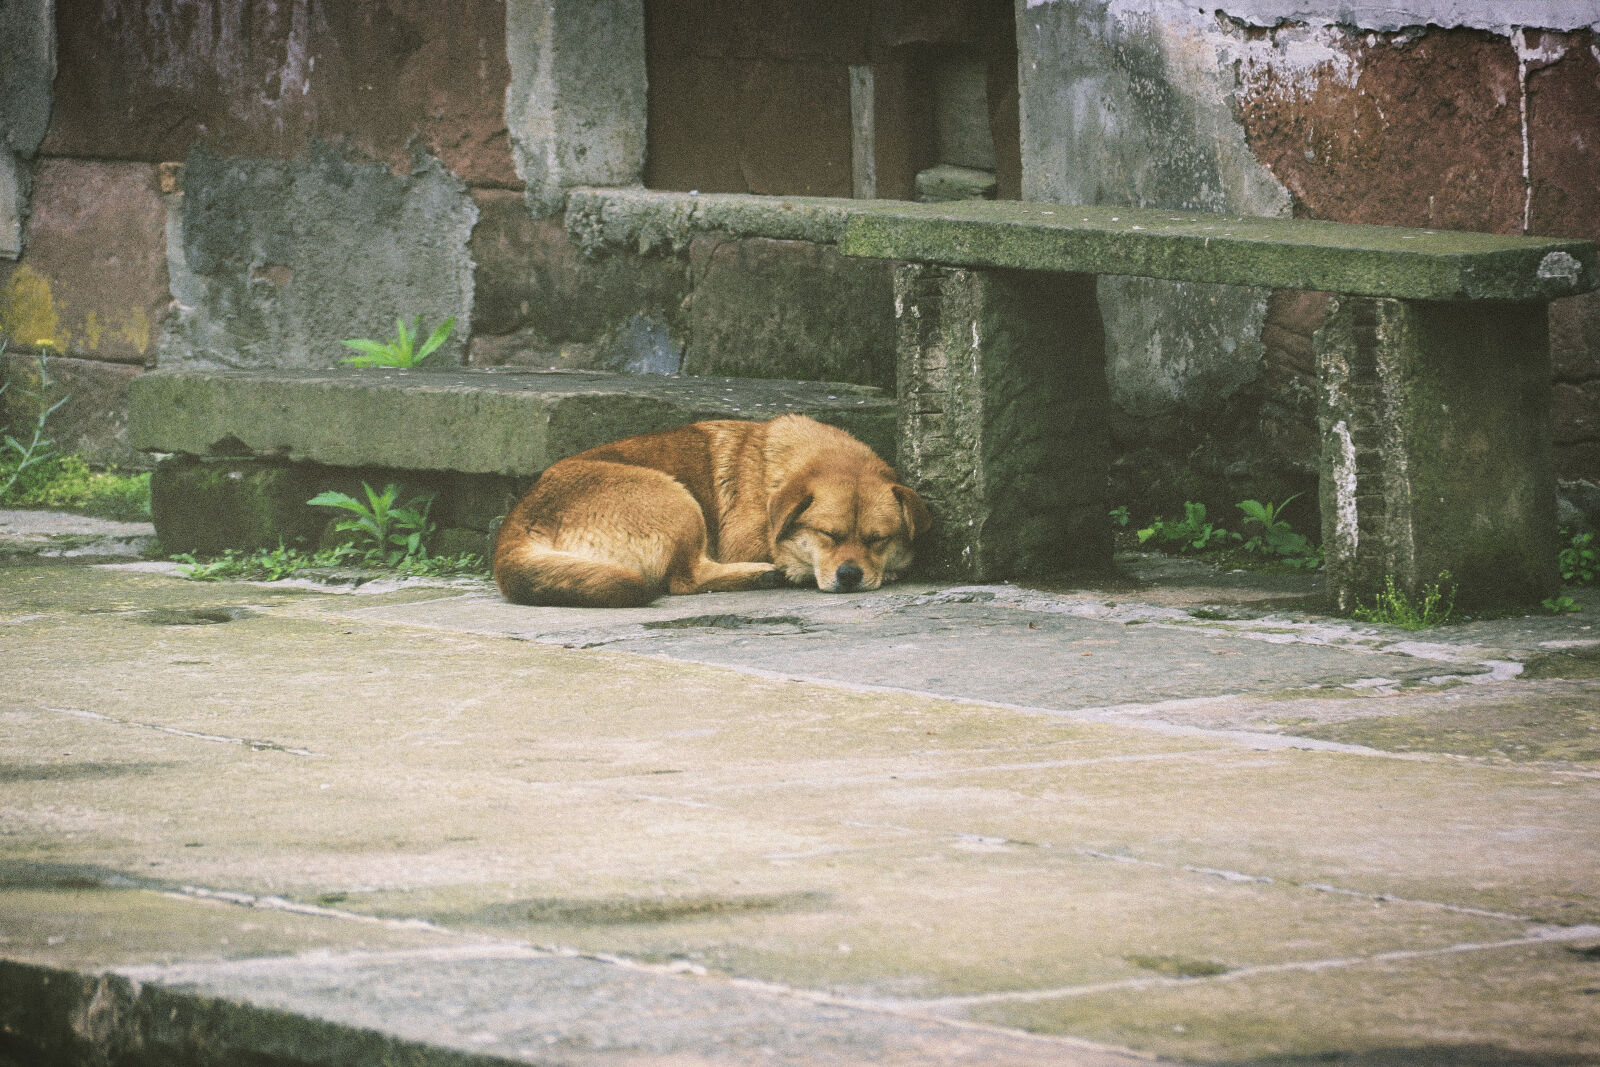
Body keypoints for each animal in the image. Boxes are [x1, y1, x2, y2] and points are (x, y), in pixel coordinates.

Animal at [492, 412, 934, 604]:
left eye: (878, 540)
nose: (849, 576)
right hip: (676, 499)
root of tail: (517, 525)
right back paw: (764, 575)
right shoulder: (745, 541)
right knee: (686, 579)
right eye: (828, 535)